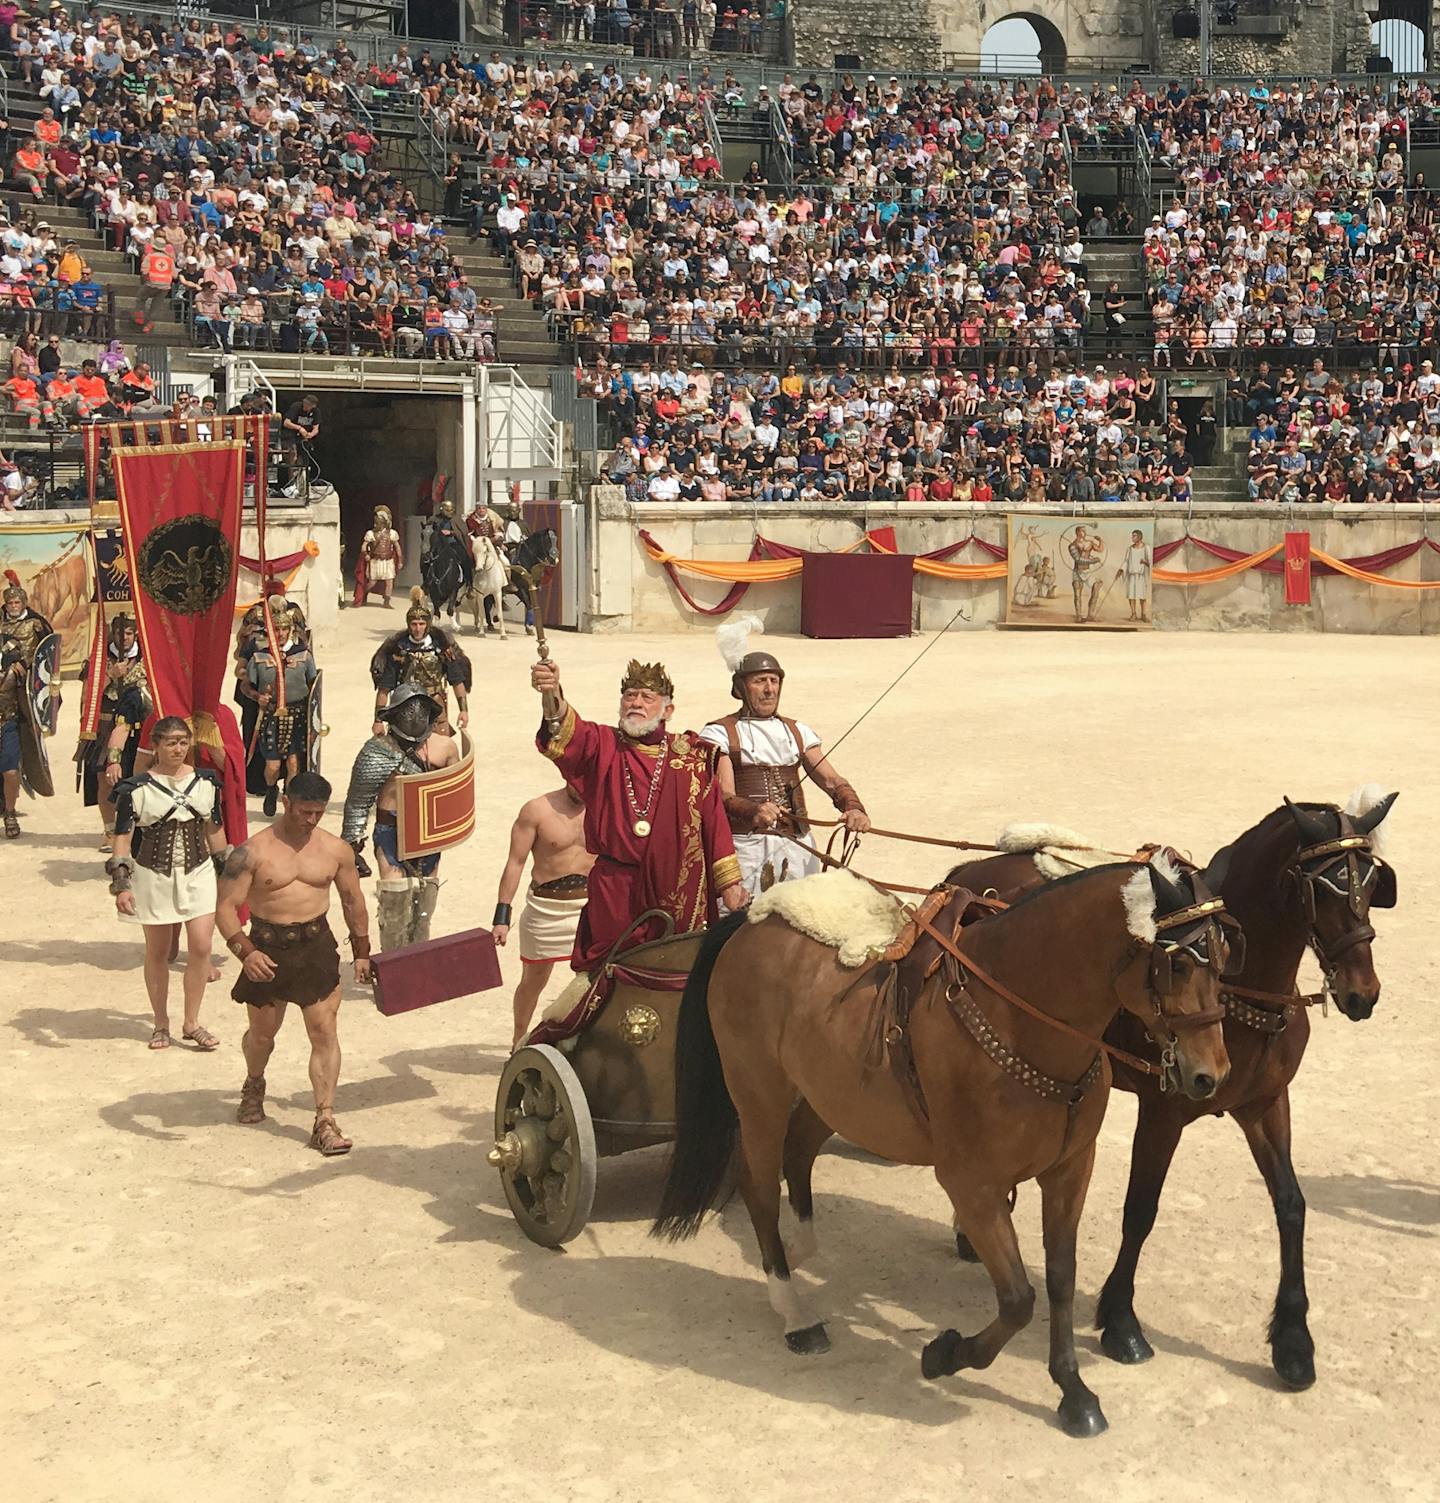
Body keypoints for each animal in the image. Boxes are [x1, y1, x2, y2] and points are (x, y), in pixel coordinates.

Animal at [658, 859, 1232, 1430]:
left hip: (833, 1097)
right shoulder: (971, 1185)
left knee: (799, 1152)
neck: (1017, 1018)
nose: (1212, 1074)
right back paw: (795, 1311)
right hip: (760, 1098)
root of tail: (752, 918)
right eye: (1178, 965)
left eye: (1224, 959)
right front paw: (946, 1354)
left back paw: (799, 1249)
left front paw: (1072, 1388)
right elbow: (1018, 1299)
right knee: (758, 1187)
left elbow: (1060, 1281)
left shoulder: (1070, 1170)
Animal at [949, 793, 1394, 1388]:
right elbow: (1141, 1209)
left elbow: (1292, 1204)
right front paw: (1121, 1320)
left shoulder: (1265, 1104)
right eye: (1322, 887)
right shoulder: (1162, 1112)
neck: (1236, 990)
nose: (1361, 992)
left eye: (1372, 881)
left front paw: (1294, 1340)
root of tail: (971, 870)